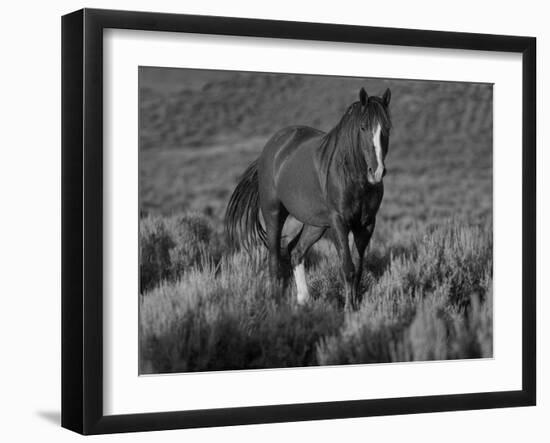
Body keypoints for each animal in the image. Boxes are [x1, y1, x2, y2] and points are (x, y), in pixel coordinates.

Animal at [226, 86, 394, 308]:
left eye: (387, 128)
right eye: (363, 127)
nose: (376, 172)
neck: (352, 176)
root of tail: (270, 149)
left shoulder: (366, 224)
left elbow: (358, 268)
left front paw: (355, 306)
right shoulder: (339, 223)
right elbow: (347, 267)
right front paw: (349, 308)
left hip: (315, 225)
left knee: (295, 251)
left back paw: (303, 299)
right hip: (274, 214)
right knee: (274, 259)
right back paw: (276, 301)